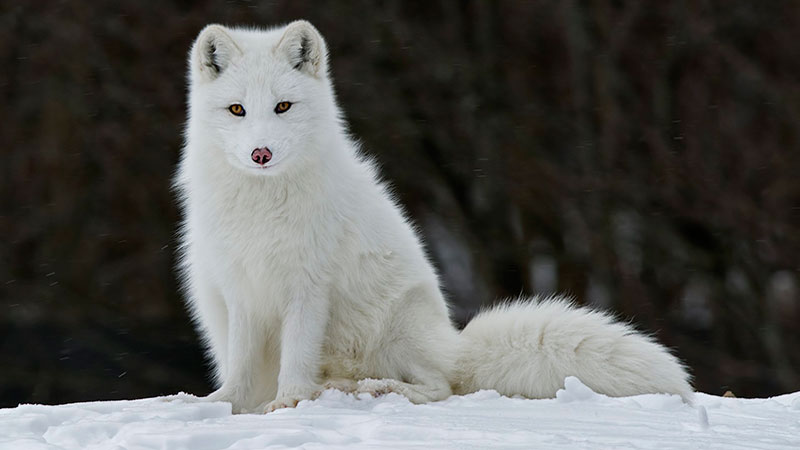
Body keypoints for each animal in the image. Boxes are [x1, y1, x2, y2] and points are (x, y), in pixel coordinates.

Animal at [174, 20, 693, 414]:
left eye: (283, 106)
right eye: (237, 109)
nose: (261, 153)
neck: (262, 205)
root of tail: (454, 343)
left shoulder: (307, 288)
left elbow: (296, 358)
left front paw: (287, 404)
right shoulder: (241, 289)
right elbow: (241, 368)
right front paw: (223, 405)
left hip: (398, 322)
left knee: (439, 386)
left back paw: (369, 389)